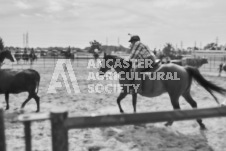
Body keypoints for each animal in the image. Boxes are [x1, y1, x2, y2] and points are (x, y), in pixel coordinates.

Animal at [98, 53, 226, 130]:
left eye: (103, 62)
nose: (100, 72)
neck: (126, 70)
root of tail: (184, 68)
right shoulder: (133, 93)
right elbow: (132, 103)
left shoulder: (125, 91)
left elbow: (119, 100)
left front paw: (123, 111)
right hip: (185, 93)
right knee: (193, 104)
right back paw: (201, 123)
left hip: (174, 96)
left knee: (177, 108)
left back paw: (169, 123)